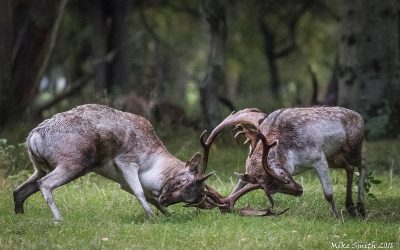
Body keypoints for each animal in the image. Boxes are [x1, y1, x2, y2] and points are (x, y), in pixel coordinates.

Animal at [12, 104, 214, 221]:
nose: (166, 200)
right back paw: (59, 219)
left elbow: (148, 196)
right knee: (44, 184)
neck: (151, 161)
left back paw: (20, 217)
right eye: (183, 181)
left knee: (19, 191)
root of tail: (33, 137)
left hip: (40, 167)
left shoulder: (121, 181)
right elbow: (140, 191)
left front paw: (167, 214)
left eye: (191, 198)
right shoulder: (127, 161)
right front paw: (152, 217)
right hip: (73, 163)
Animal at [197, 106, 366, 218]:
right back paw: (351, 207)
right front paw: (223, 204)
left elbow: (328, 193)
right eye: (273, 190)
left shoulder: (318, 157)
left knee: (362, 163)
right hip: (335, 157)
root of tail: (359, 116)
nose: (299, 190)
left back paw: (361, 208)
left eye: (282, 175)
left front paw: (337, 217)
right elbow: (238, 186)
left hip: (352, 146)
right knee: (350, 167)